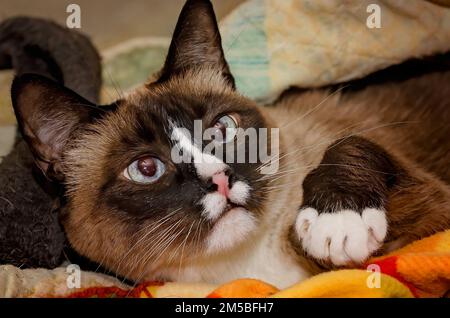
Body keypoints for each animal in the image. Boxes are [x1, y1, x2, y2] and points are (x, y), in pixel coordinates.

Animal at [7, 0, 450, 288]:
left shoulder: (425, 229)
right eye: (146, 169)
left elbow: (348, 144)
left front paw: (336, 225)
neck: (249, 269)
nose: (220, 179)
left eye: (222, 128)